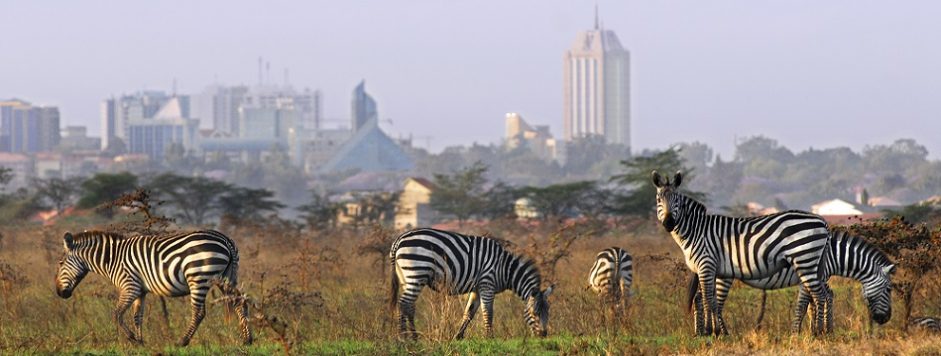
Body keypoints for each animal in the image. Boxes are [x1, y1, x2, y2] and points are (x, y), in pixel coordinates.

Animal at [56, 229, 250, 346]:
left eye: (60, 263)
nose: (59, 293)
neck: (112, 259)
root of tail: (226, 240)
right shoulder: (140, 291)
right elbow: (137, 316)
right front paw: (141, 342)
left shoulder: (130, 286)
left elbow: (116, 314)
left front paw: (133, 338)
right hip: (225, 277)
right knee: (240, 302)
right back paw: (247, 339)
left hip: (199, 277)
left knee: (199, 312)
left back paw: (182, 341)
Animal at [388, 228, 556, 340]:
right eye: (535, 313)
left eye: (548, 312)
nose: (544, 335)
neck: (505, 269)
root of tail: (398, 240)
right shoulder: (487, 284)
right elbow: (488, 312)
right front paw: (489, 337)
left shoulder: (476, 288)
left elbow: (469, 312)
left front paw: (458, 336)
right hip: (417, 272)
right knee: (404, 303)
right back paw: (406, 337)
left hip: (407, 277)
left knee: (407, 305)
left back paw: (410, 337)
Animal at [652, 171, 828, 336]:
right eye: (659, 200)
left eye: (677, 200)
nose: (668, 223)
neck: (696, 231)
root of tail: (822, 221)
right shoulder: (712, 269)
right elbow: (713, 301)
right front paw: (716, 331)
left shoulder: (706, 265)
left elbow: (708, 299)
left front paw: (709, 331)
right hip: (810, 263)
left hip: (805, 259)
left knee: (819, 295)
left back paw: (819, 333)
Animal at [684, 231, 896, 334]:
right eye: (889, 289)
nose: (885, 319)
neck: (833, 254)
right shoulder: (813, 276)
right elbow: (808, 303)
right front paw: (808, 332)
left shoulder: (817, 277)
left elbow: (816, 302)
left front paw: (818, 330)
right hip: (722, 276)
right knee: (711, 301)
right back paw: (717, 332)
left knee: (699, 298)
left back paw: (699, 332)